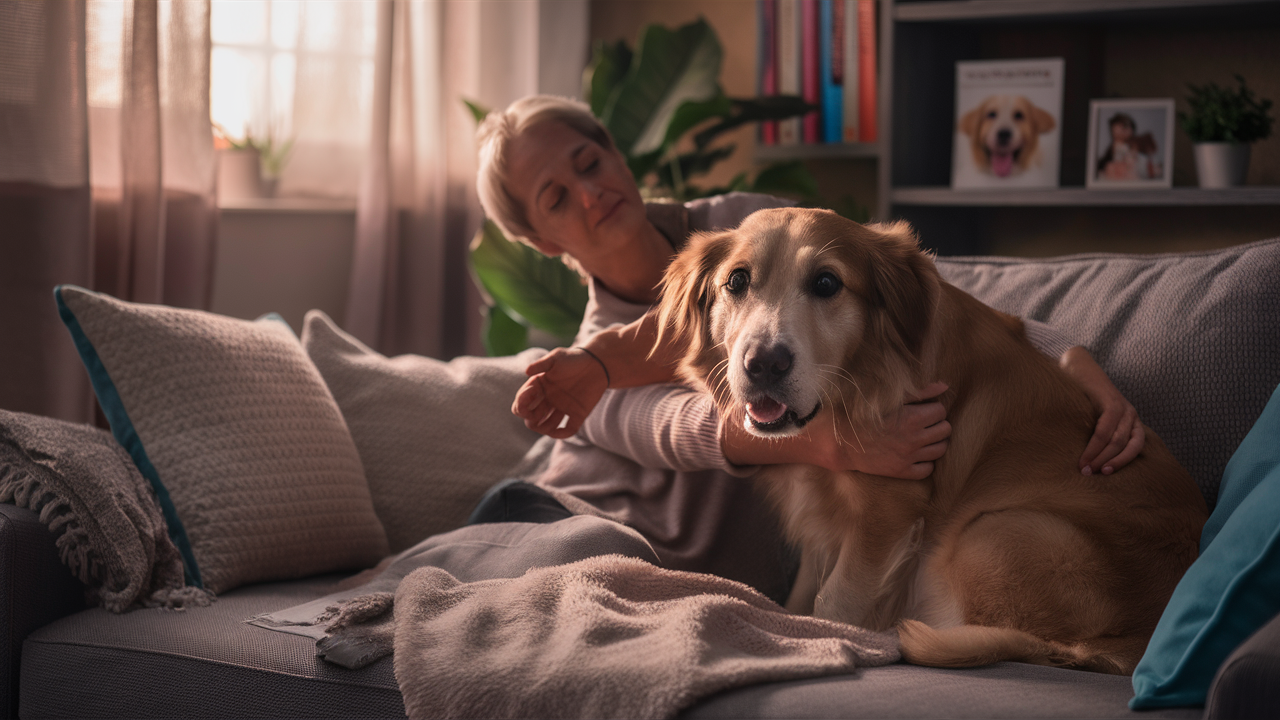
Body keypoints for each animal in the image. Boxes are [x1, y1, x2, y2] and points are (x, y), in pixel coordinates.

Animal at [660, 207, 1208, 671]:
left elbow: (832, 603)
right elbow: (802, 594)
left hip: (992, 532)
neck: (858, 386)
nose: (764, 365)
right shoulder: (823, 515)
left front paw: (825, 638)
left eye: (826, 283)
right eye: (737, 280)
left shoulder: (887, 513)